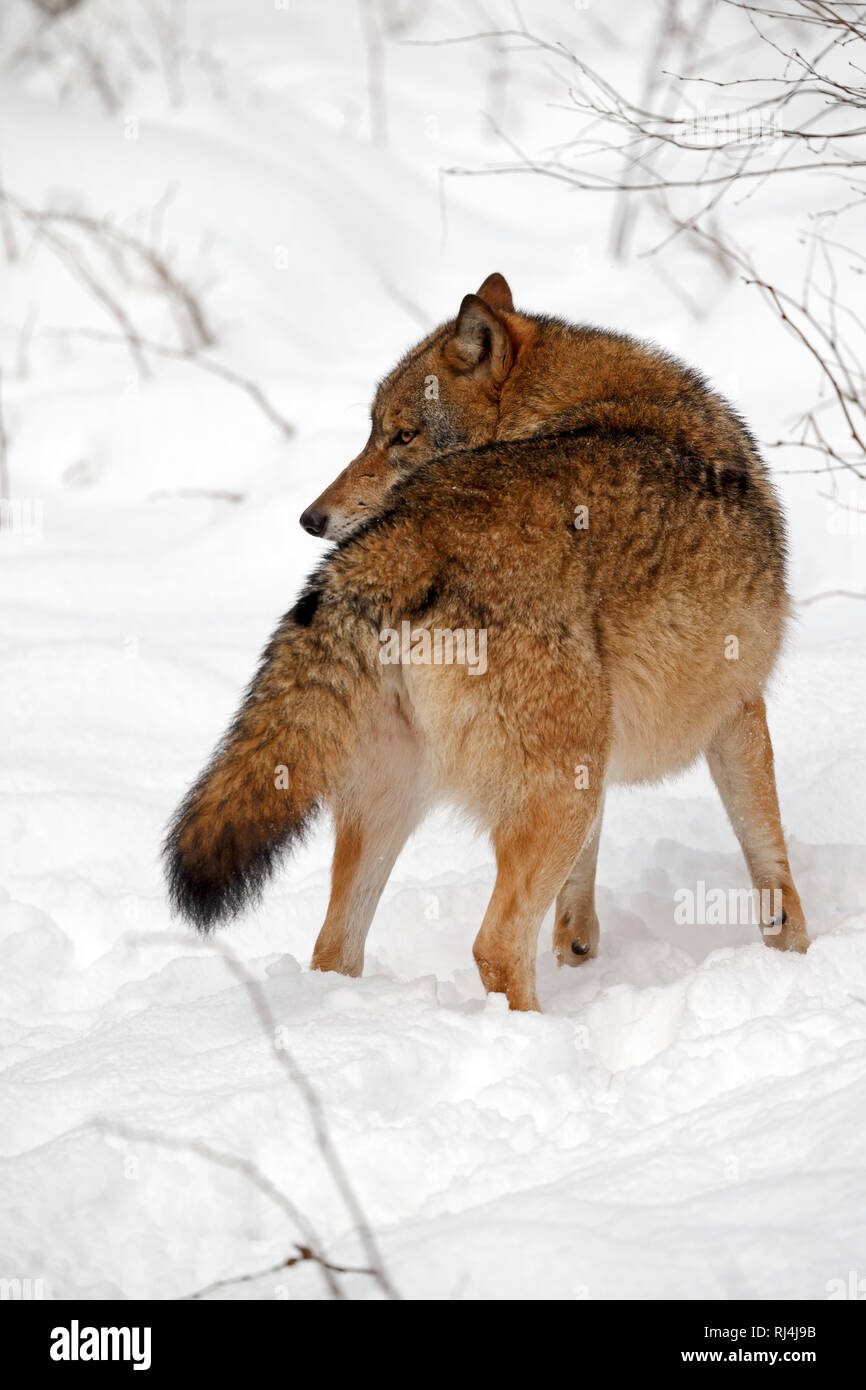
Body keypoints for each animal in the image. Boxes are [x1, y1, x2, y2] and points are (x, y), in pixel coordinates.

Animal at [164, 273, 808, 1012]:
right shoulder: (739, 710)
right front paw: (798, 957)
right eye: (377, 434)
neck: (577, 402)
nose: (309, 519)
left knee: (333, 947)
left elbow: (583, 884)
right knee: (494, 946)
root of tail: (402, 540)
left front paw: (579, 950)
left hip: (406, 797)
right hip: (550, 794)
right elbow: (771, 861)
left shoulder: (609, 757)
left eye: (400, 435)